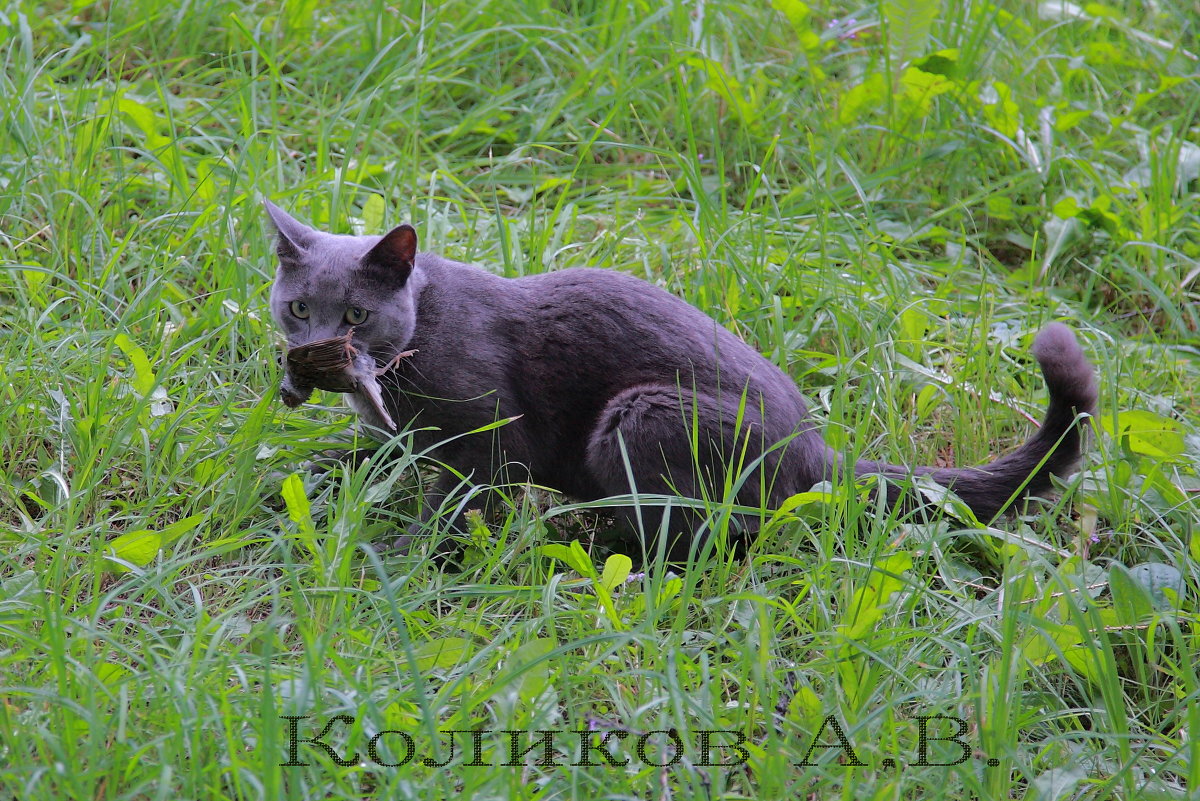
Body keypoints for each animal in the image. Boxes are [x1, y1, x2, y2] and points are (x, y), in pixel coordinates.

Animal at [267, 200, 1099, 561]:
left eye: (357, 315)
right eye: (300, 307)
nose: (315, 350)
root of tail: (819, 451)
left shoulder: (491, 440)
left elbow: (455, 503)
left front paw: (406, 556)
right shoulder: (400, 433)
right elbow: (369, 456)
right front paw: (312, 477)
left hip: (638, 413)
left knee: (715, 540)